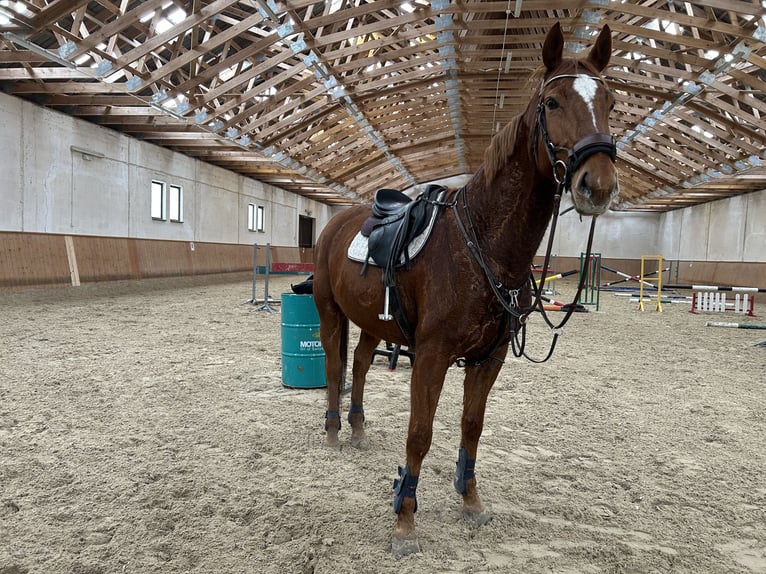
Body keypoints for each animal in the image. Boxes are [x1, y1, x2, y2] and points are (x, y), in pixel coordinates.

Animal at [312, 24, 616, 560]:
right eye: (552, 102)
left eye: (611, 102)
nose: (596, 185)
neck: (484, 245)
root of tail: (338, 222)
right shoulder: (431, 356)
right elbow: (419, 434)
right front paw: (404, 520)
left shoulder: (488, 359)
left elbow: (471, 427)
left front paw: (470, 499)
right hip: (330, 311)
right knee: (333, 364)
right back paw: (333, 432)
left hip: (373, 322)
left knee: (361, 365)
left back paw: (358, 427)